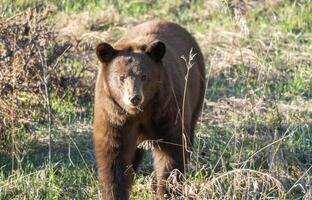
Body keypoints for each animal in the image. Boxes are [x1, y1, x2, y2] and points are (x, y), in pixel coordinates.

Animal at [92, 19, 205, 199]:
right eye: (121, 77)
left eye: (144, 76)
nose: (134, 98)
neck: (141, 112)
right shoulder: (113, 114)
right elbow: (113, 157)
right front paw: (114, 192)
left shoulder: (167, 108)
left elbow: (172, 151)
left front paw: (167, 191)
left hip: (197, 92)